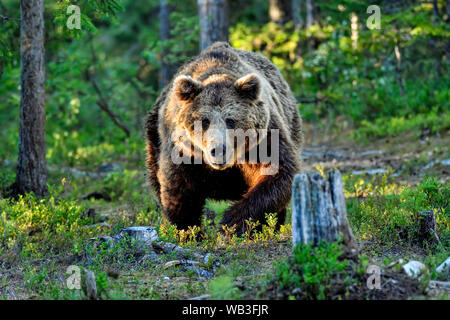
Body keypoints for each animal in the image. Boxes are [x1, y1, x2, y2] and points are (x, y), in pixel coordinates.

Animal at [146, 42, 304, 235]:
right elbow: (178, 187)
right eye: (204, 121)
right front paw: (188, 231)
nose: (218, 150)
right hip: (153, 136)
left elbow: (277, 172)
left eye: (231, 120)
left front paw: (232, 223)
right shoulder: (183, 150)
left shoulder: (264, 140)